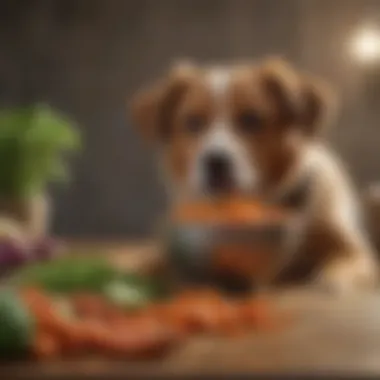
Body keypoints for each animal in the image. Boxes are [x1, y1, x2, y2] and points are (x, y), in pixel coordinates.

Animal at [130, 58, 378, 292]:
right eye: (192, 122)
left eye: (251, 119)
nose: (215, 162)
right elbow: (158, 263)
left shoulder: (357, 251)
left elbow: (340, 268)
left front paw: (328, 280)